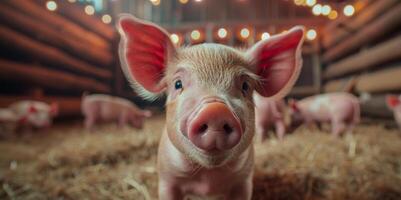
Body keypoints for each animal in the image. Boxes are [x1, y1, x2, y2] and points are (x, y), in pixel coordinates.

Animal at [115, 14, 304, 199]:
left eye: (245, 86)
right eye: (177, 84)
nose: (216, 111)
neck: (207, 180)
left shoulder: (244, 181)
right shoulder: (167, 179)